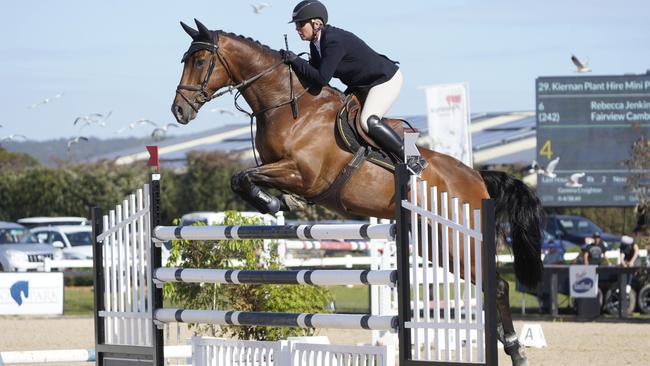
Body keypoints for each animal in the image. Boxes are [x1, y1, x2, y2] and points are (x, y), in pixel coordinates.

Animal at [170, 20, 540, 366]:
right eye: (185, 60)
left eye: (200, 61)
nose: (179, 111)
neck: (287, 105)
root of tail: (478, 177)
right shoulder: (281, 167)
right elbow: (241, 178)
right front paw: (278, 201)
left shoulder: (305, 174)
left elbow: (243, 177)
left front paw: (272, 200)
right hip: (436, 242)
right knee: (489, 284)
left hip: (457, 239)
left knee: (498, 285)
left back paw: (515, 349)